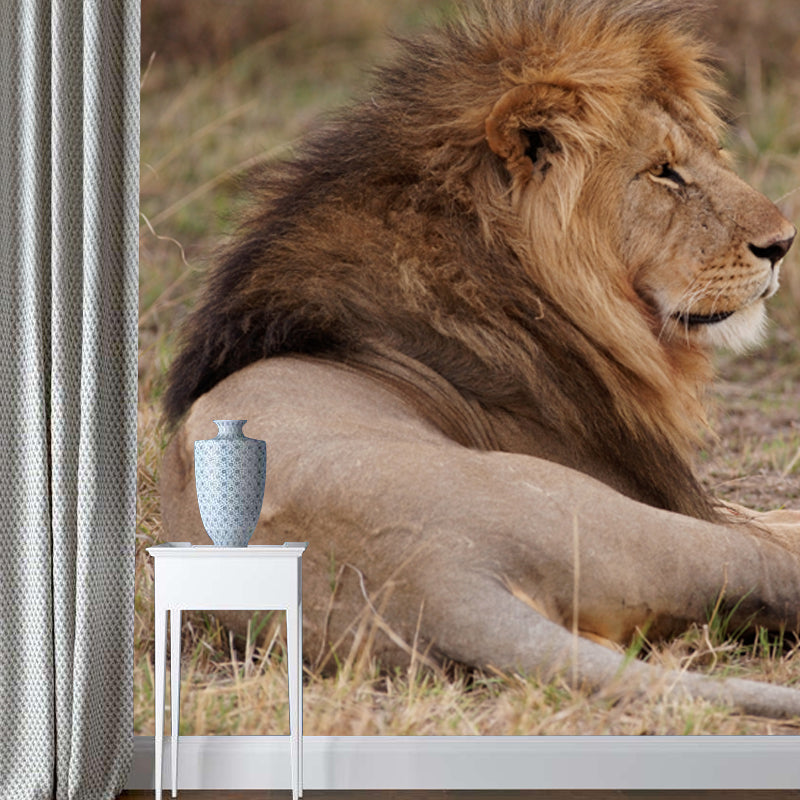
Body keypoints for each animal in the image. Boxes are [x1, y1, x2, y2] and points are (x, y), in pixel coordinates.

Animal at [159, 0, 800, 718]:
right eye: (664, 171)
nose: (782, 244)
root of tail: (434, 579)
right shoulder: (667, 492)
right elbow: (771, 519)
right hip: (615, 517)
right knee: (771, 567)